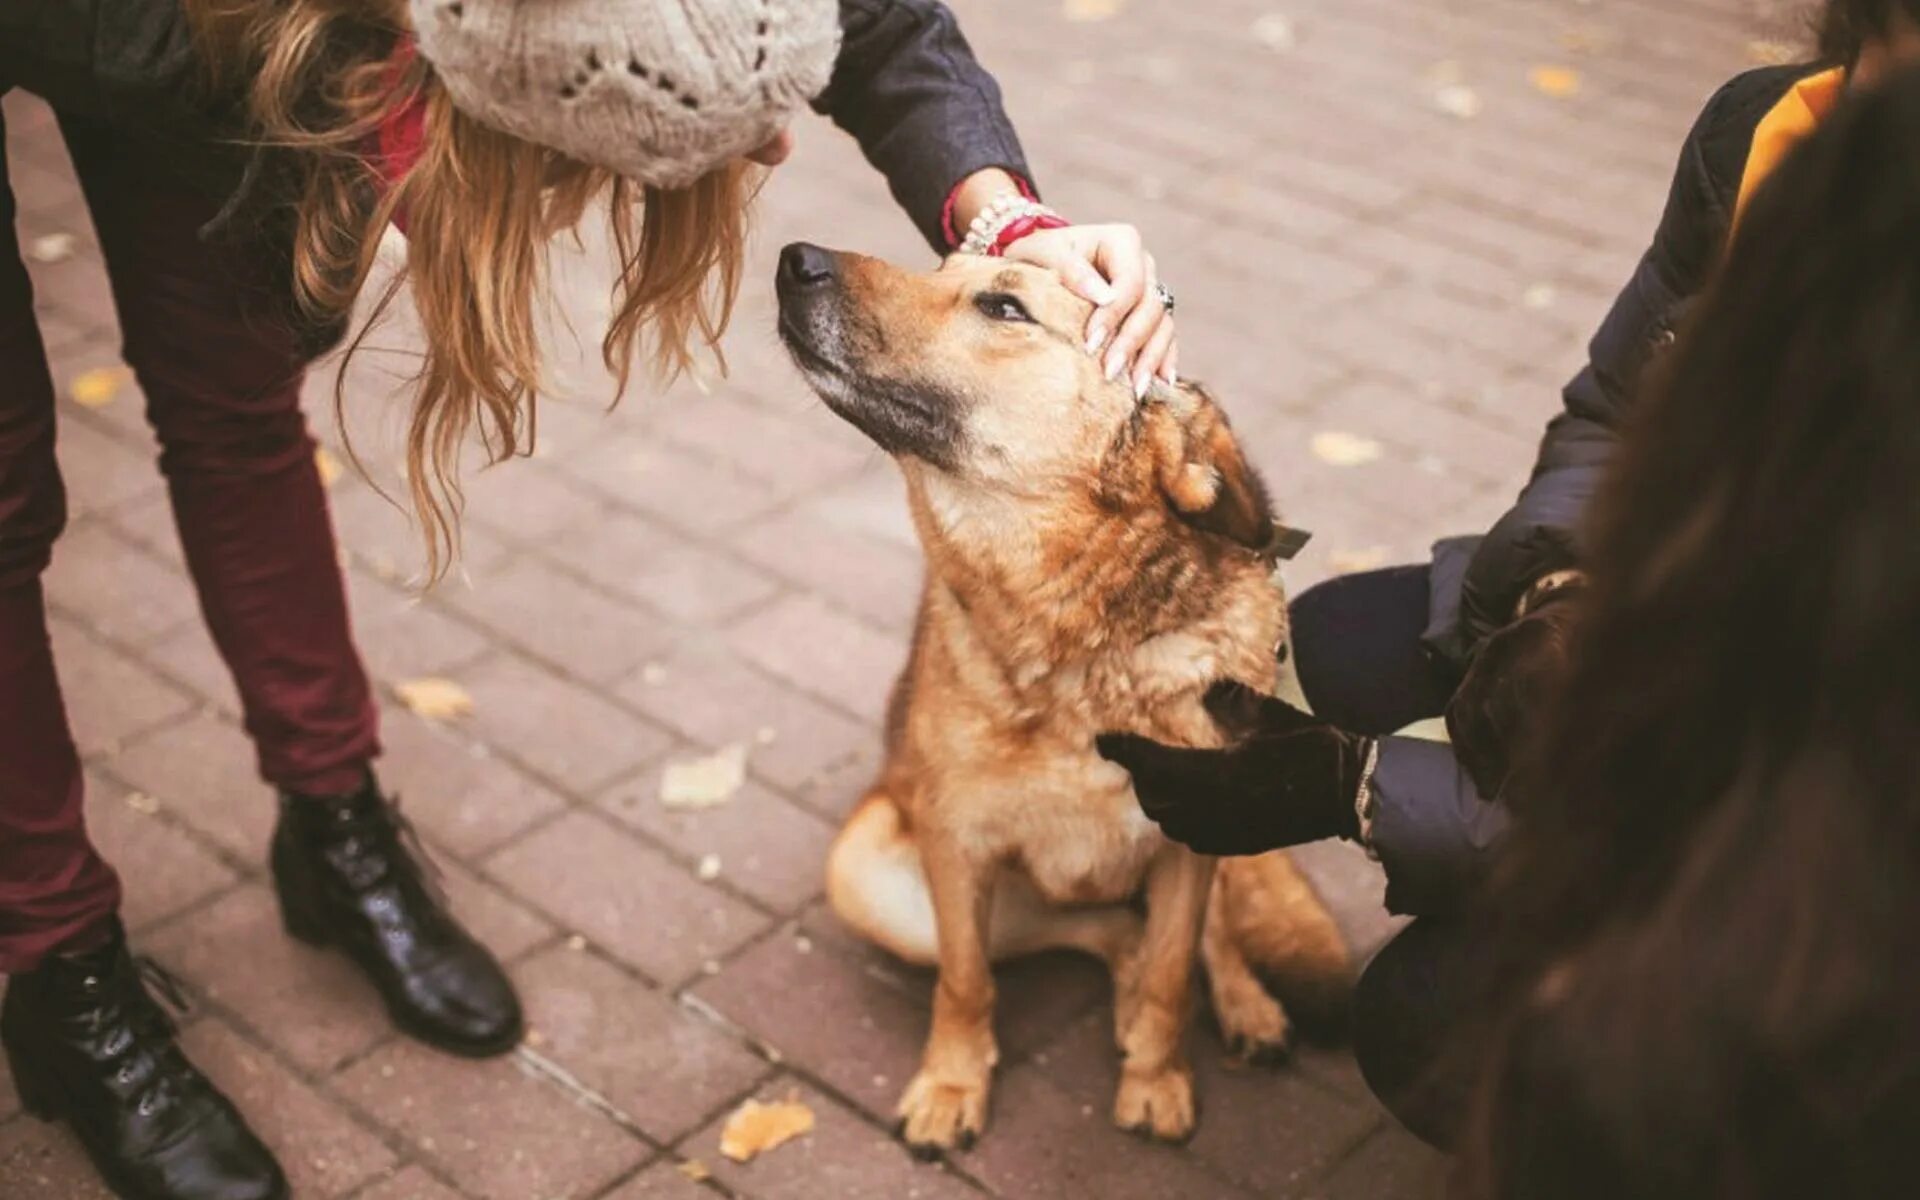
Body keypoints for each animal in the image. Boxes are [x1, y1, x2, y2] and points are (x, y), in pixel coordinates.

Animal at [775, 240, 1351, 1152]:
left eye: (1004, 307)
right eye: (942, 266)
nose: (795, 257)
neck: (1082, 653)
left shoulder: (1191, 843)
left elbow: (1175, 971)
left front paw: (1157, 1078)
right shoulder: (956, 844)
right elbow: (968, 981)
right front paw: (953, 1083)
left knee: (1203, 937)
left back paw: (1244, 1005)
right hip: (870, 872)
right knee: (1108, 934)